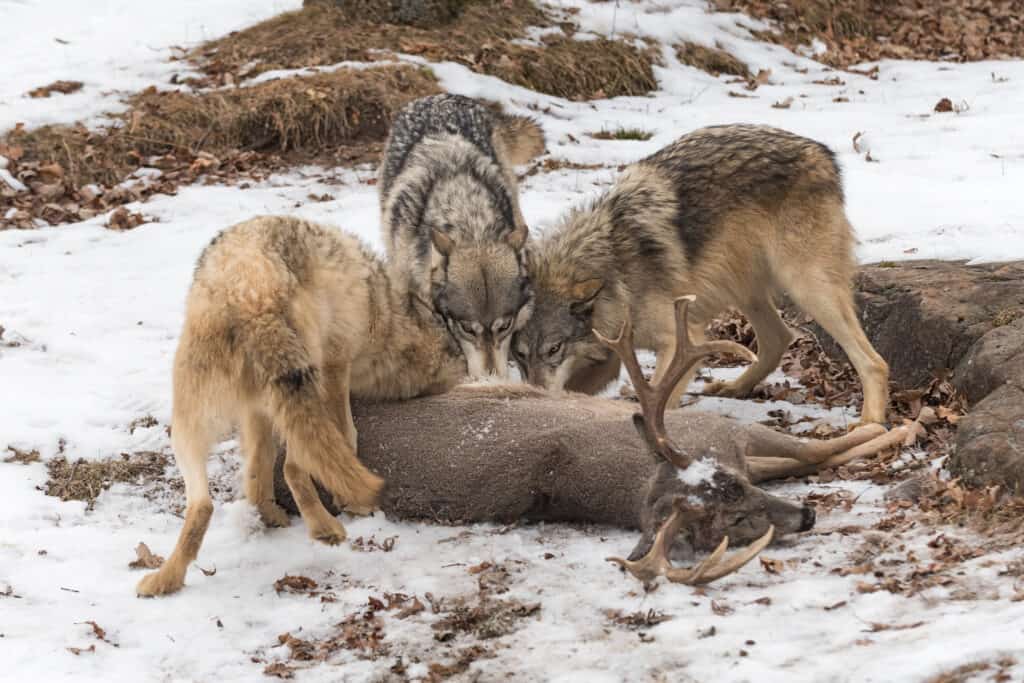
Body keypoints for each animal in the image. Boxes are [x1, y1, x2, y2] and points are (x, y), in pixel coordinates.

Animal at [516, 122, 892, 421]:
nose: (535, 398)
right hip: (747, 289)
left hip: (808, 288)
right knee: (779, 339)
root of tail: (820, 152)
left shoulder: (682, 339)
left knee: (873, 362)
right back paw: (734, 387)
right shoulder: (606, 360)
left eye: (554, 349)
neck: (615, 269)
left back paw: (869, 424)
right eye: (519, 355)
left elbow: (658, 398)